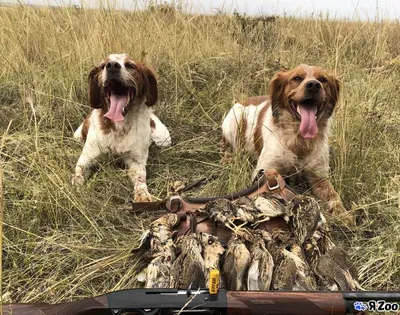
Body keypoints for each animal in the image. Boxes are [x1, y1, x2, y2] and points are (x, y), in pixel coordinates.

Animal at [72, 54, 171, 202]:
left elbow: (140, 179)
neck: (119, 127)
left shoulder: (136, 163)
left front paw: (143, 195)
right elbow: (78, 175)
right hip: (77, 136)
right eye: (103, 66)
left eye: (130, 65)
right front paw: (77, 191)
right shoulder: (86, 159)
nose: (112, 66)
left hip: (164, 140)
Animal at [222, 64, 354, 222]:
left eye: (323, 79)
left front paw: (344, 215)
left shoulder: (319, 177)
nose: (314, 85)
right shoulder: (264, 173)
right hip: (232, 125)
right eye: (296, 78)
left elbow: (334, 196)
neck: (299, 140)